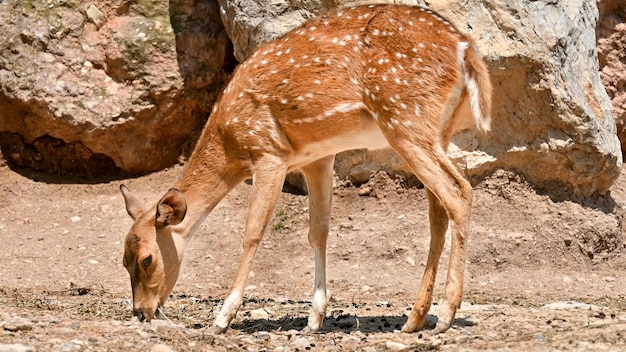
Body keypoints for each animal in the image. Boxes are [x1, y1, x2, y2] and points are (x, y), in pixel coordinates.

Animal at [119, 2, 488, 334]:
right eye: (123, 259)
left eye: (147, 259)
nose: (142, 312)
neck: (229, 140)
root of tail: (466, 50)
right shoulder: (316, 158)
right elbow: (318, 232)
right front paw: (315, 318)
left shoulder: (269, 152)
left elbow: (252, 232)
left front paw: (223, 317)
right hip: (437, 130)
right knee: (438, 210)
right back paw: (414, 318)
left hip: (405, 119)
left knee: (459, 192)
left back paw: (445, 315)